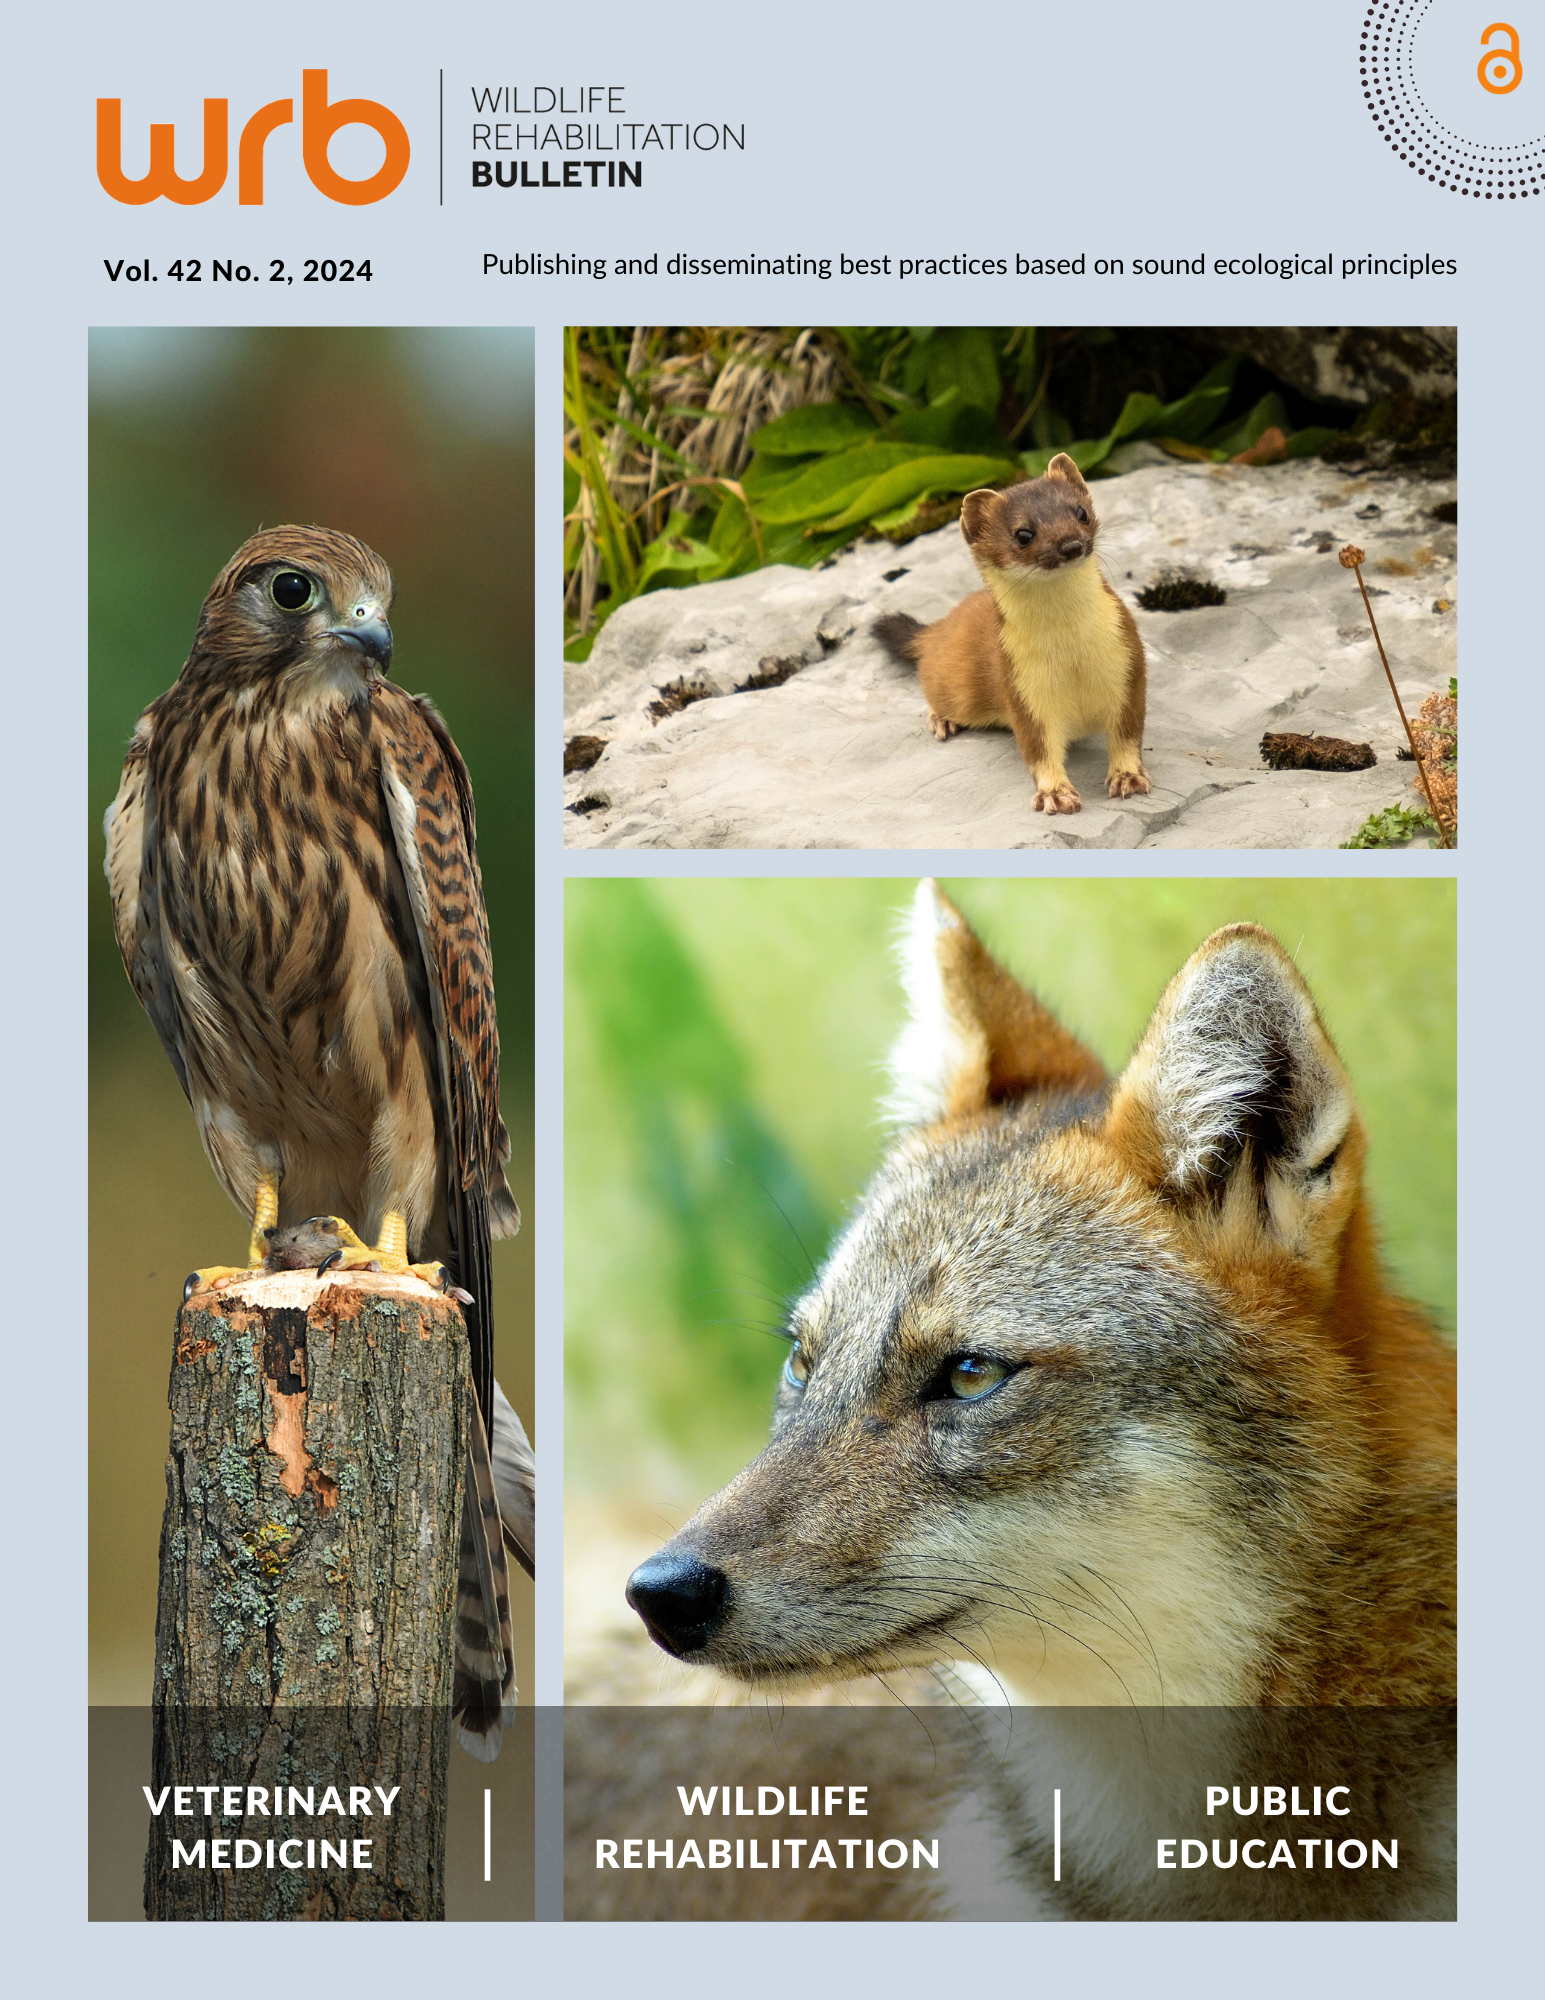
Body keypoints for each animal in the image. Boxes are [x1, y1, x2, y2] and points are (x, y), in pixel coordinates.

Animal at [876, 458, 1136, 816]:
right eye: (1023, 533)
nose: (1071, 544)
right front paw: (1055, 794)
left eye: (1080, 512)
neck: (1071, 653)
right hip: (958, 689)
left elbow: (1128, 733)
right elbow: (1038, 749)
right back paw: (942, 720)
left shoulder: (1127, 662)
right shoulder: (1022, 688)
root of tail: (941, 625)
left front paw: (1128, 778)